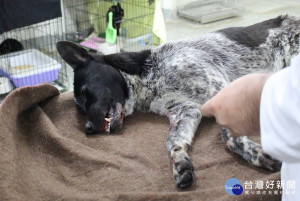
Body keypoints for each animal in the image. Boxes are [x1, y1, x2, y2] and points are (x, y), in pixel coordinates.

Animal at [56, 15, 300, 188]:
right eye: (79, 107)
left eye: (85, 92)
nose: (88, 129)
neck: (149, 76)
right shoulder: (186, 110)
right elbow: (173, 141)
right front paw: (179, 161)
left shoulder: (223, 92)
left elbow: (228, 134)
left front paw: (255, 153)